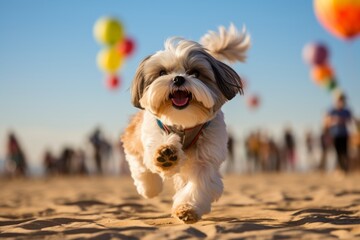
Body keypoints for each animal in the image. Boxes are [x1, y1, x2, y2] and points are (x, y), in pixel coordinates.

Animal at [121, 24, 250, 223]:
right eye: (162, 73)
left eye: (195, 73)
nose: (178, 78)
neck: (182, 123)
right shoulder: (148, 133)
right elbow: (145, 159)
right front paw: (165, 154)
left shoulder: (206, 159)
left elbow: (198, 185)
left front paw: (187, 208)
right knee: (141, 166)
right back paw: (150, 186)